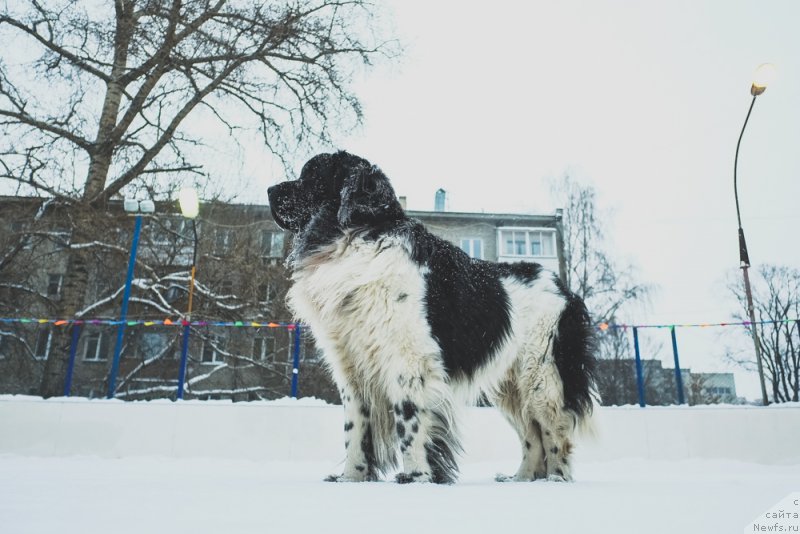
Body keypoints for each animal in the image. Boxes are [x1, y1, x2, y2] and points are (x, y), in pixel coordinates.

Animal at [268, 151, 592, 486]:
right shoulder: (350, 366)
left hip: (542, 376)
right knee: (531, 434)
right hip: (510, 386)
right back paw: (522, 479)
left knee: (555, 431)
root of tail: (565, 289)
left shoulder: (408, 361)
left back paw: (555, 479)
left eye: (311, 175)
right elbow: (355, 428)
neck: (355, 242)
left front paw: (416, 476)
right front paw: (351, 478)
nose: (270, 190)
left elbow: (409, 421)